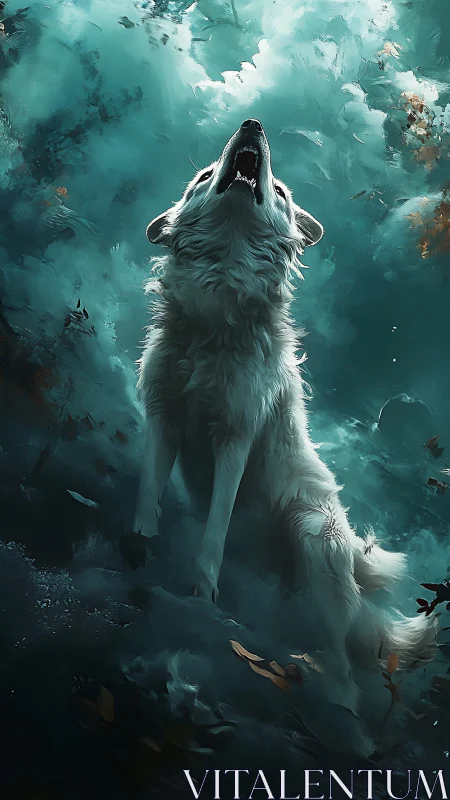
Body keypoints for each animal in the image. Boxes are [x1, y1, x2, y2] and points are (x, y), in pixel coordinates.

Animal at [135, 119, 436, 723]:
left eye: (279, 192)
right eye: (204, 176)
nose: (252, 125)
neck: (217, 308)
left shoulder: (234, 438)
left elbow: (214, 532)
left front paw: (200, 594)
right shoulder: (163, 416)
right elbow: (149, 493)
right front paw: (138, 541)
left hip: (313, 536)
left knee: (341, 667)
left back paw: (340, 714)